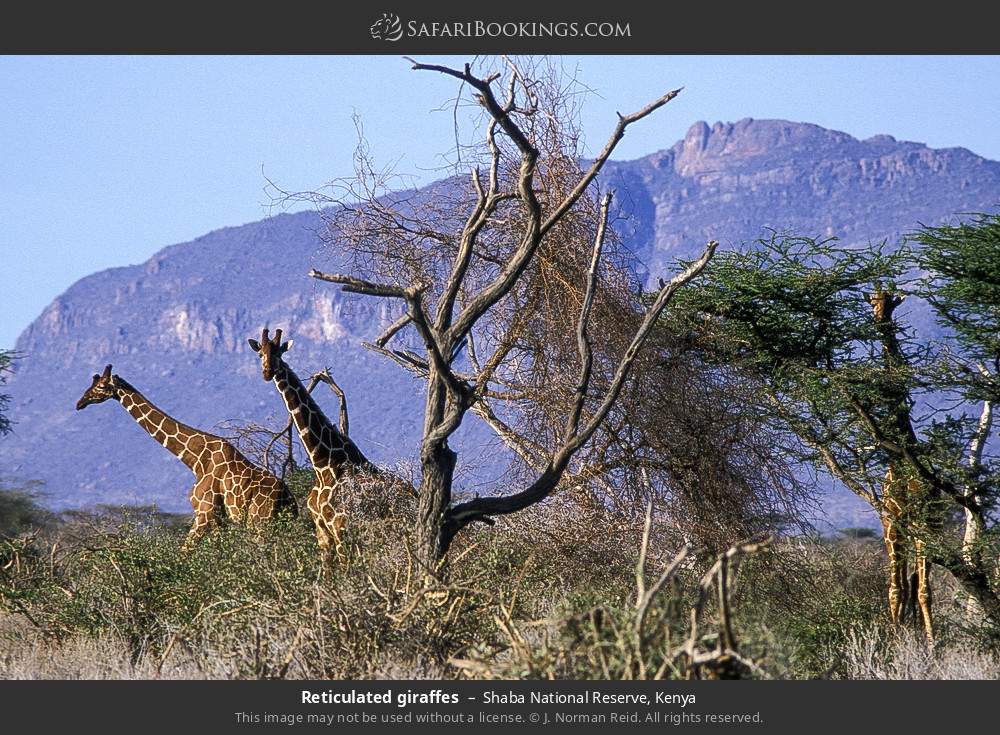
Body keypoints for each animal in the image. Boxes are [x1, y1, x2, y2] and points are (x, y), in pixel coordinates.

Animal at [75, 364, 297, 546]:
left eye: (101, 386)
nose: (79, 403)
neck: (196, 460)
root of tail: (287, 497)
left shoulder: (204, 511)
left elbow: (186, 551)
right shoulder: (217, 519)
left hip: (258, 521)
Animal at [247, 328, 409, 562]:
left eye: (279, 353)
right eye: (261, 354)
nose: (268, 372)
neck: (322, 462)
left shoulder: (339, 526)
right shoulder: (322, 530)